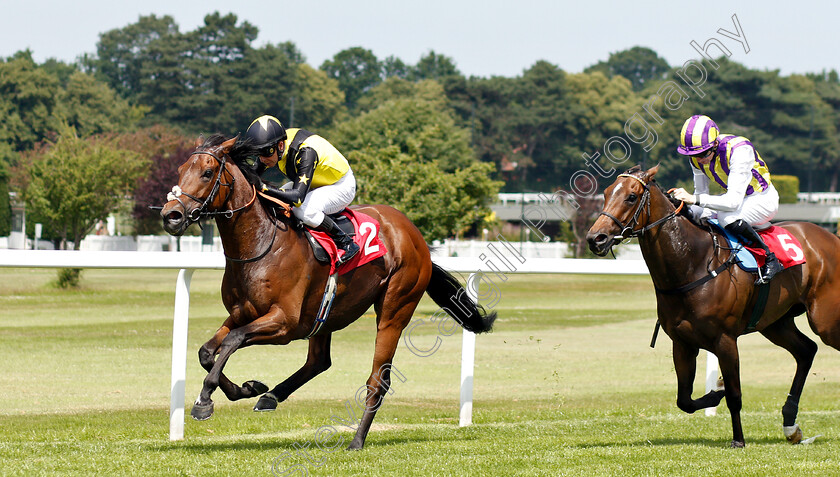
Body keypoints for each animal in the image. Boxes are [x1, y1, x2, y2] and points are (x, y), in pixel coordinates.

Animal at [161, 135, 496, 450]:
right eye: (180, 170)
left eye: (207, 172)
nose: (171, 215)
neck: (260, 244)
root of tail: (415, 236)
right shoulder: (242, 313)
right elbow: (208, 351)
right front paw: (247, 388)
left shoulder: (284, 323)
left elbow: (232, 340)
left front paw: (205, 400)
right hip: (325, 313)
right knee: (319, 361)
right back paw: (271, 396)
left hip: (394, 308)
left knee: (378, 380)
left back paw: (357, 441)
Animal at [588, 164, 840, 446]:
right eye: (606, 193)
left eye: (631, 197)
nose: (596, 238)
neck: (693, 263)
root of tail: (832, 237)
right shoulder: (682, 343)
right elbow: (684, 400)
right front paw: (715, 392)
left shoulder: (725, 340)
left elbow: (734, 395)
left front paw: (738, 439)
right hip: (776, 323)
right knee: (806, 351)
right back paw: (790, 425)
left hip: (825, 320)